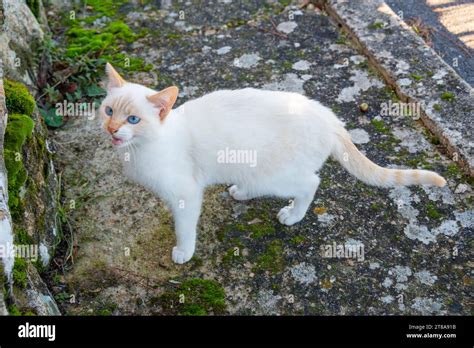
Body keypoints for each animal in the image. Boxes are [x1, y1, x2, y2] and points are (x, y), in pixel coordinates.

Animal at [100, 62, 448, 264]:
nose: (112, 129)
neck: (140, 150)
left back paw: (293, 214)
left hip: (276, 175)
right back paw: (241, 191)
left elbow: (184, 229)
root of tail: (329, 117)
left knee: (310, 183)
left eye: (133, 119)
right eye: (108, 111)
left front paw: (184, 252)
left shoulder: (186, 195)